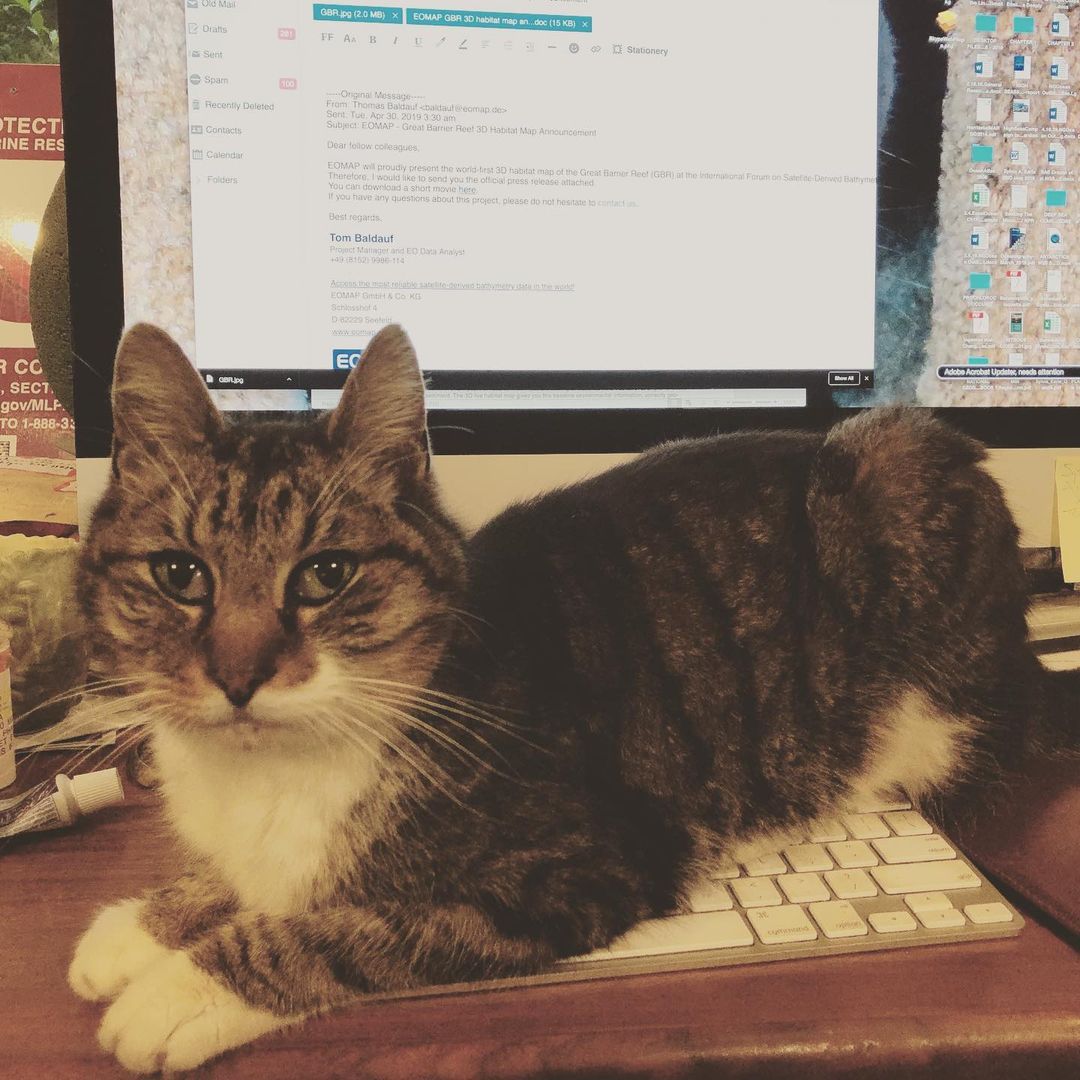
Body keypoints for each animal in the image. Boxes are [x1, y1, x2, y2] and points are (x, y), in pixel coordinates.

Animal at [68, 323, 1078, 1073]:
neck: (271, 772)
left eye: (325, 574)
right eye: (179, 574)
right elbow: (240, 878)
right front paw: (143, 926)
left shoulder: (580, 868)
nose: (237, 678)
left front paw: (180, 991)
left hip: (903, 478)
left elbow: (341, 933)